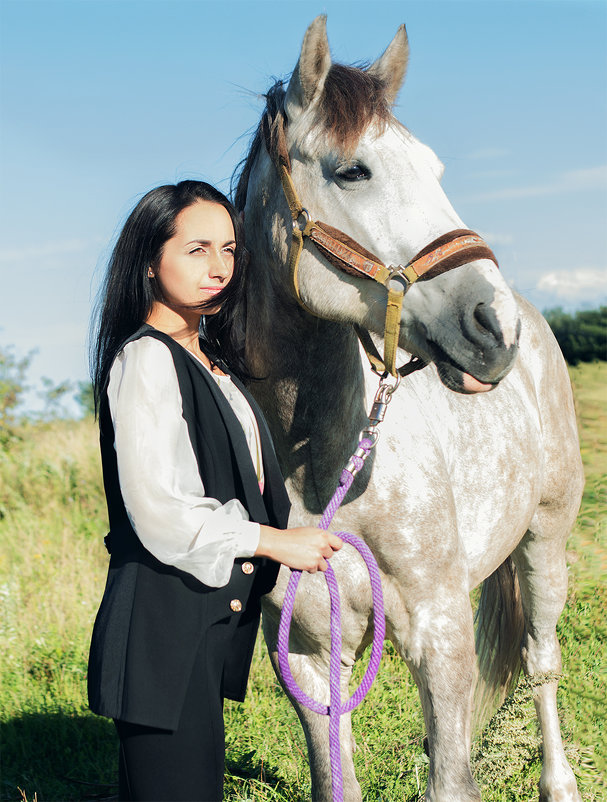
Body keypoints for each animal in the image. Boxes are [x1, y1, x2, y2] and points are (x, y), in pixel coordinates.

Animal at [233, 15, 584, 796]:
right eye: (352, 170)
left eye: (434, 169)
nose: (492, 328)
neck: (327, 472)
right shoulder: (305, 655)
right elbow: (338, 775)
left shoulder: (440, 636)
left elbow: (451, 776)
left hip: (545, 541)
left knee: (541, 662)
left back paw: (559, 780)